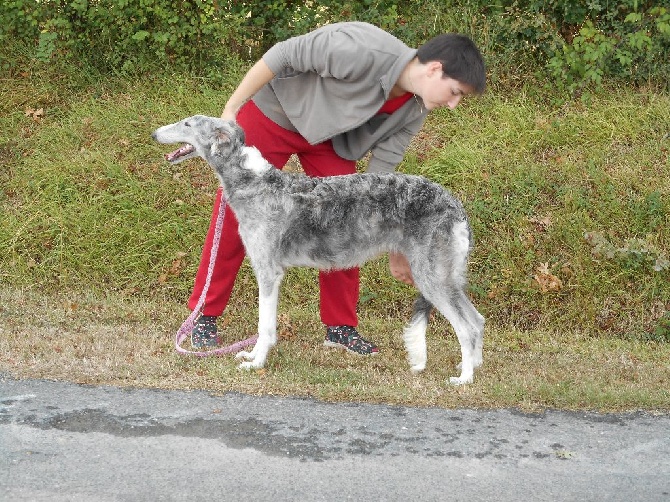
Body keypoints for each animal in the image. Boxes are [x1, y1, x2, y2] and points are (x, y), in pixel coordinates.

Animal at [154, 114, 486, 384]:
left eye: (187, 123)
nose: (155, 134)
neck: (254, 180)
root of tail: (456, 205)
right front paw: (252, 356)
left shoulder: (268, 273)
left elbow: (264, 326)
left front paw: (256, 362)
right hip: (445, 277)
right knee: (478, 320)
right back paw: (471, 366)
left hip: (432, 277)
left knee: (467, 326)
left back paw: (464, 379)